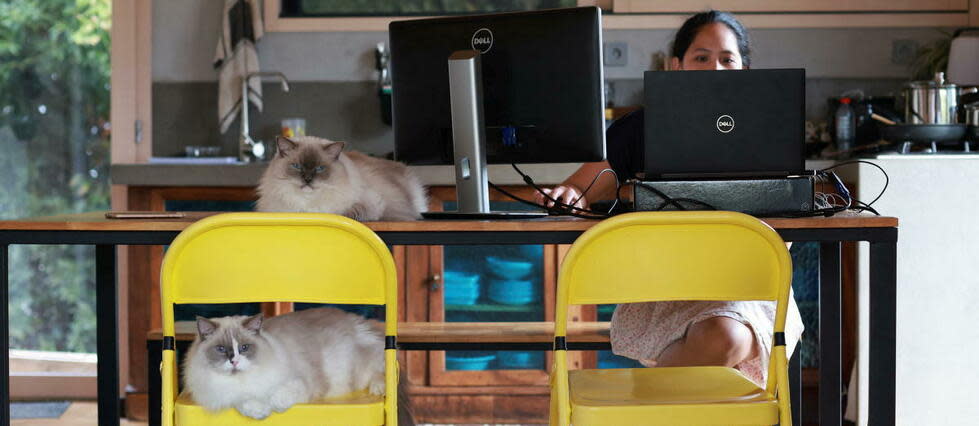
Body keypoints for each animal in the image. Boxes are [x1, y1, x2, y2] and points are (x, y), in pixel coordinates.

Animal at [184, 306, 414, 422]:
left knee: (383, 372)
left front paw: (272, 407)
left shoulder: (298, 382)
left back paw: (379, 388)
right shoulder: (226, 395)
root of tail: (363, 322)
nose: (234, 361)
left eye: (244, 347)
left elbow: (279, 396)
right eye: (221, 349)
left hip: (360, 369)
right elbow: (244, 401)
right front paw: (260, 411)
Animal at [256, 136, 428, 223]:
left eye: (320, 168)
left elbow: (346, 213)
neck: (309, 204)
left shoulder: (372, 203)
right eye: (297, 166)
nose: (307, 180)